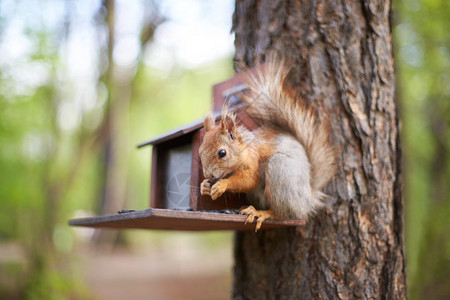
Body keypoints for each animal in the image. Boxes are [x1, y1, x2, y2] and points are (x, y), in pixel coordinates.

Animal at [199, 60, 336, 230]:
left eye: (222, 153)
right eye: (200, 152)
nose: (208, 175)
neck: (243, 149)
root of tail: (307, 200)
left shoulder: (253, 157)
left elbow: (250, 179)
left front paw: (222, 185)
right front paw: (204, 186)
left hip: (281, 171)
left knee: (282, 213)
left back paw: (261, 213)